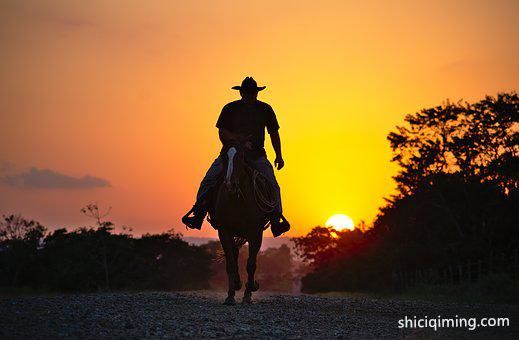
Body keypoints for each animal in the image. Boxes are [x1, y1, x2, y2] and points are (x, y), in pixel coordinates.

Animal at [207, 145, 272, 304]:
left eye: (241, 157)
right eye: (224, 157)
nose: (230, 183)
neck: (237, 200)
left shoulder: (255, 232)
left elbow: (251, 264)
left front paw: (248, 293)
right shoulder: (224, 231)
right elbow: (230, 263)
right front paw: (230, 296)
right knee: (235, 254)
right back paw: (237, 283)